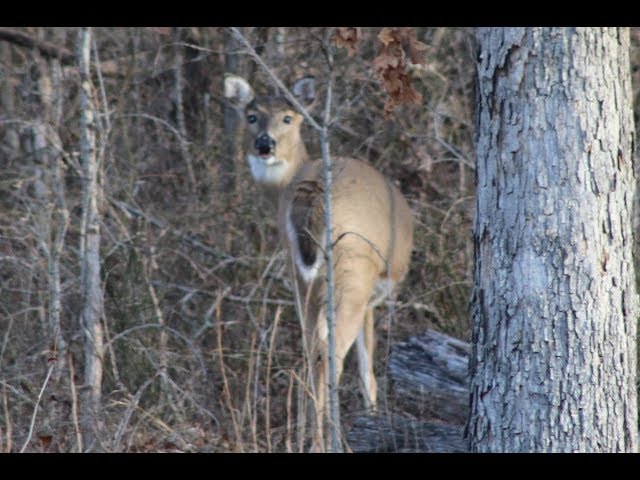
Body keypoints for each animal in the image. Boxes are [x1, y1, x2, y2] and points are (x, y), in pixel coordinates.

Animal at [224, 74, 414, 452]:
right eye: (251, 116)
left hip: (302, 277)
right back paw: (330, 440)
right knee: (331, 355)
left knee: (311, 352)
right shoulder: (372, 298)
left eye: (288, 118)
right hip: (353, 269)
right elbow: (367, 370)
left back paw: (309, 438)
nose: (264, 144)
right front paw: (372, 420)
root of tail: (312, 194)